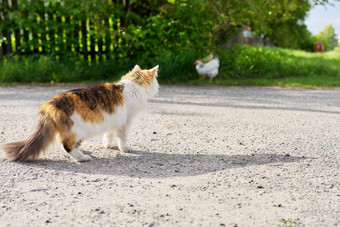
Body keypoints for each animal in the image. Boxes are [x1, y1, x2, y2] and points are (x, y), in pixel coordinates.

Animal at [0, 64, 159, 162]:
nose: (158, 86)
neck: (133, 85)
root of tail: (49, 104)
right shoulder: (125, 122)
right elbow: (122, 138)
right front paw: (125, 149)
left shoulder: (114, 119)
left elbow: (109, 134)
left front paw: (108, 145)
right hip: (77, 129)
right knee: (66, 146)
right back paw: (82, 158)